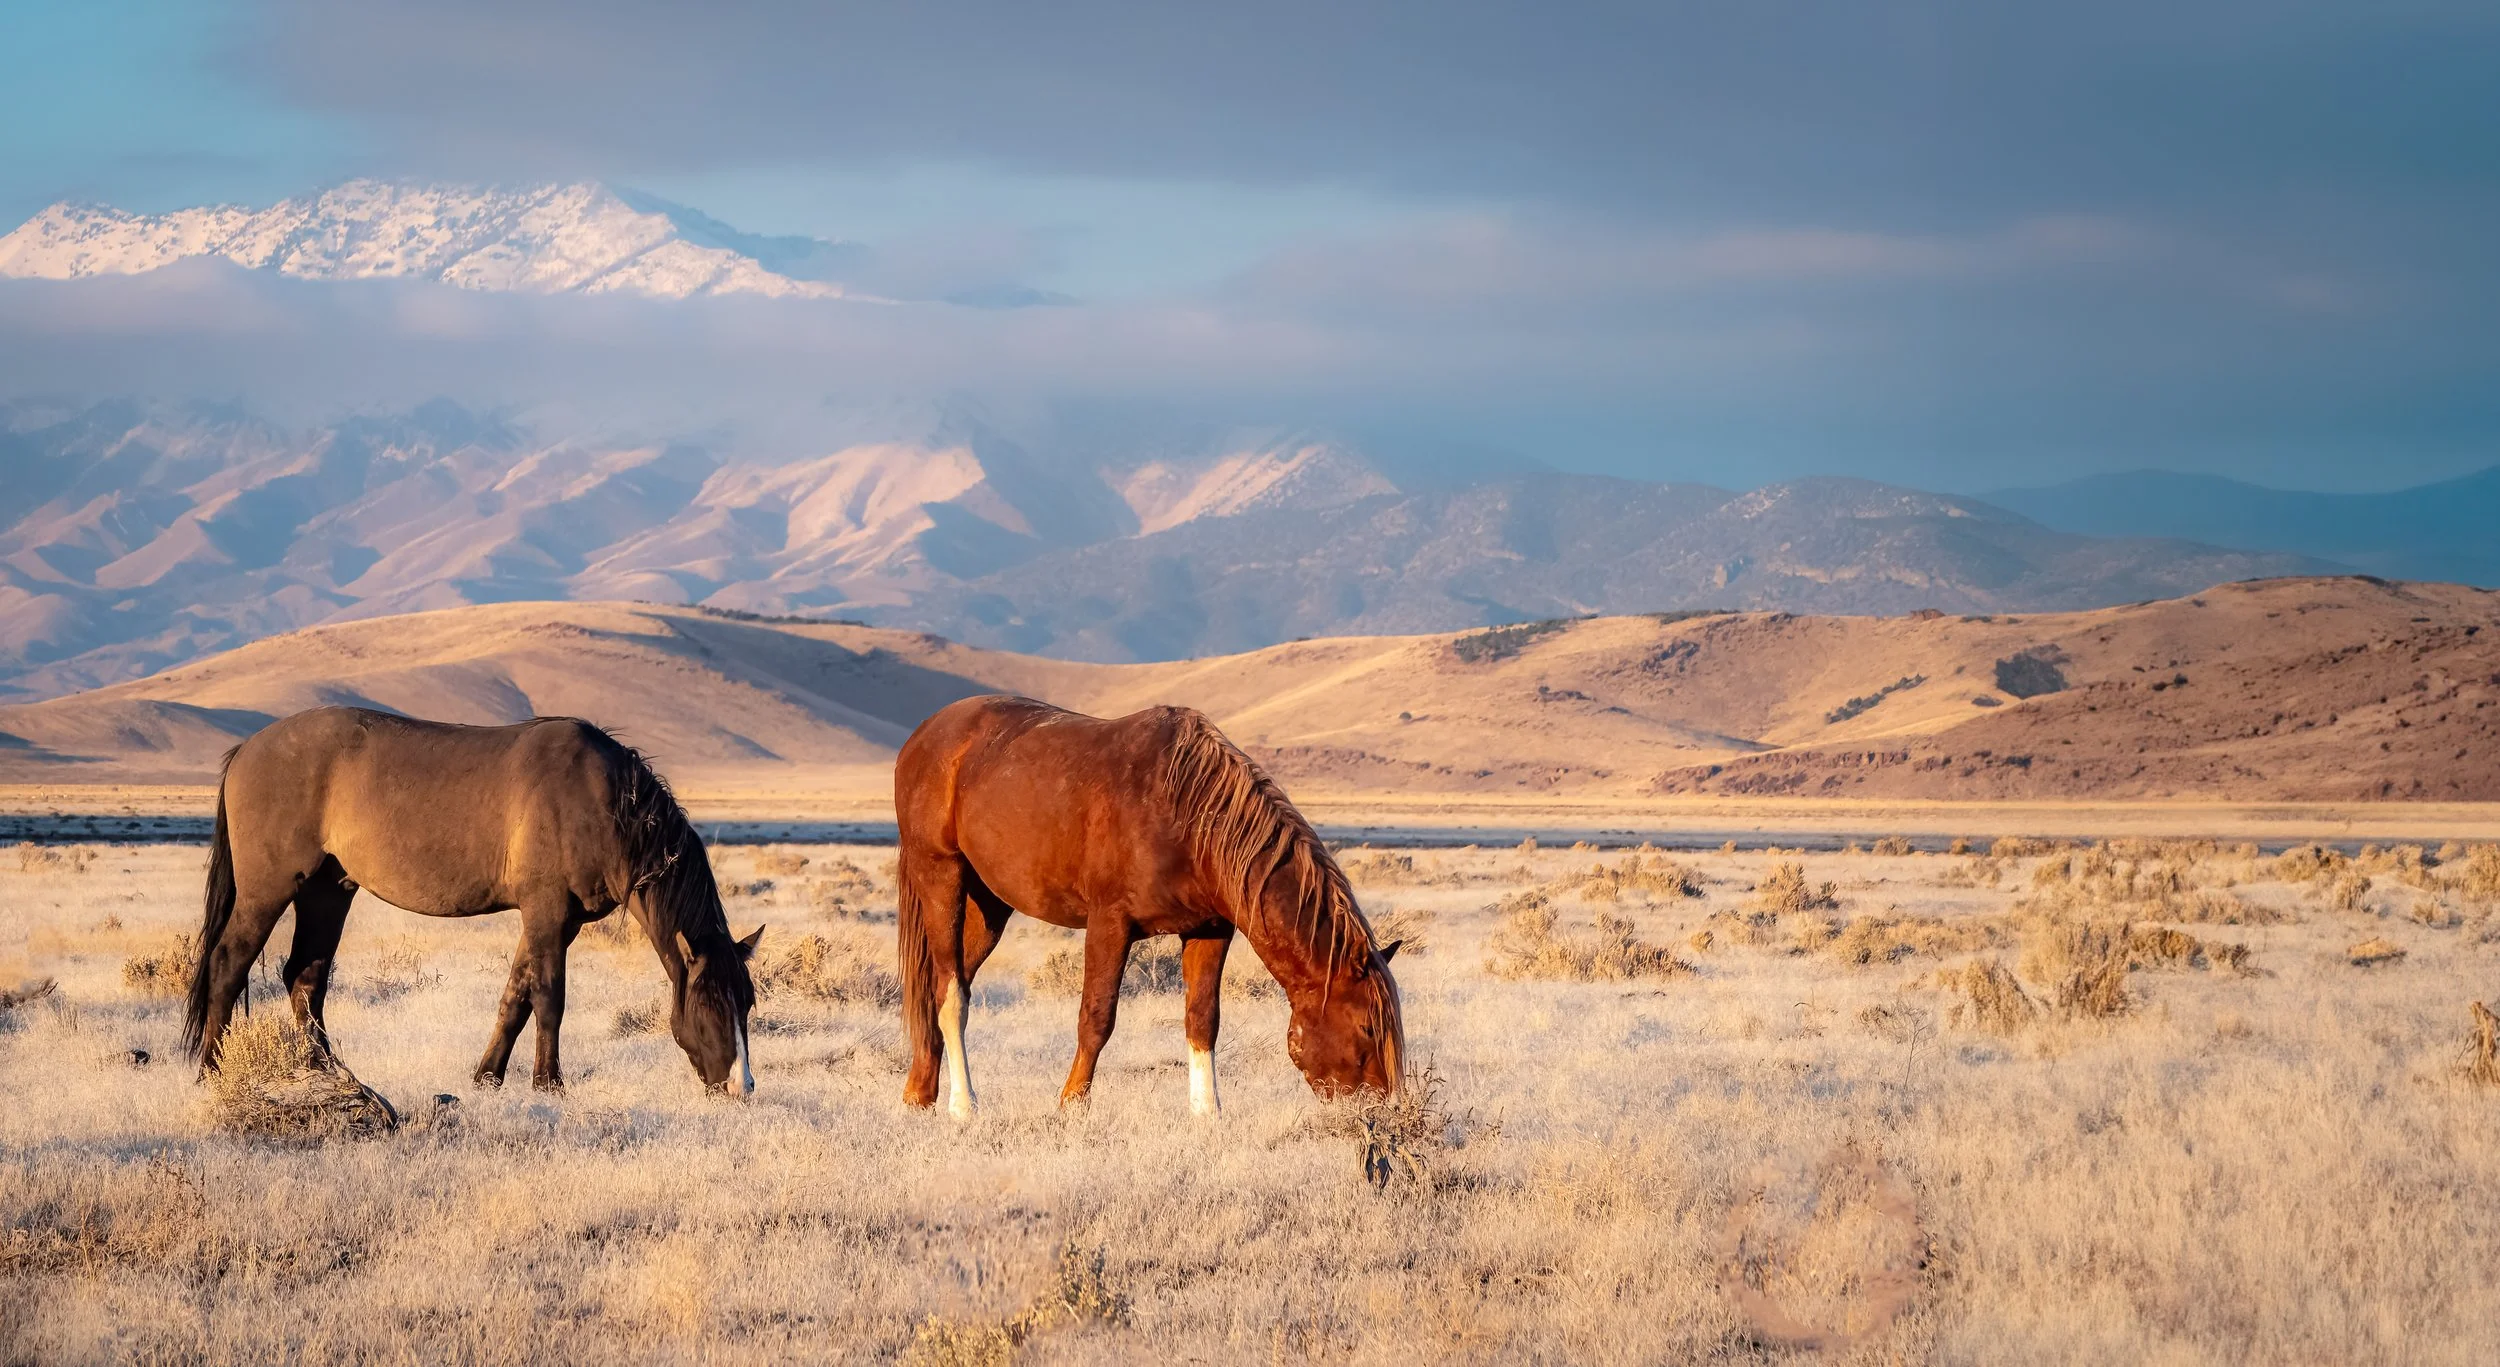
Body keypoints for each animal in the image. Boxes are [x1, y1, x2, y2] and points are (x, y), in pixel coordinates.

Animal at [183, 706, 763, 1093]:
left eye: (748, 1002)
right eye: (710, 1003)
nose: (742, 1087)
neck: (603, 804)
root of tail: (246, 751)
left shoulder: (560, 921)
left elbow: (516, 997)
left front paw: (488, 1076)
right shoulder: (545, 910)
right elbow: (549, 998)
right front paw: (547, 1082)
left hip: (327, 890)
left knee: (305, 977)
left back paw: (329, 1073)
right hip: (269, 889)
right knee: (228, 964)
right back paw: (212, 1070)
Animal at [893, 695, 1403, 1118]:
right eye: (1368, 1028)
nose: (1386, 1111)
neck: (1190, 818)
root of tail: (923, 736)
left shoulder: (1209, 929)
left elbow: (1202, 1019)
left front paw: (1207, 1114)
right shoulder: (1109, 924)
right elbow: (1096, 1018)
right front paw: (1071, 1105)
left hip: (990, 905)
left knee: (944, 984)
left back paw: (920, 1093)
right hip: (942, 877)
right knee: (951, 992)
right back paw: (963, 1104)